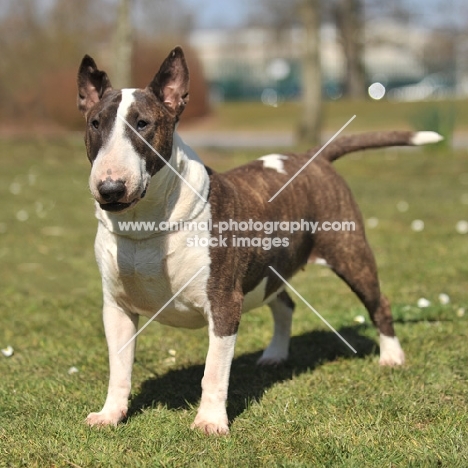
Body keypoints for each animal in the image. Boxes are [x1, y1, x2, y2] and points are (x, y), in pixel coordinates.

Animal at [77, 45, 442, 434]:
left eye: (143, 123)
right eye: (95, 123)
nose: (110, 189)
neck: (142, 225)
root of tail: (312, 157)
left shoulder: (223, 302)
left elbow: (214, 372)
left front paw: (210, 422)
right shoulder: (116, 307)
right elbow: (119, 367)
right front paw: (110, 414)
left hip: (350, 251)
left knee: (378, 301)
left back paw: (392, 357)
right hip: (272, 268)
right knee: (285, 305)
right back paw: (275, 355)